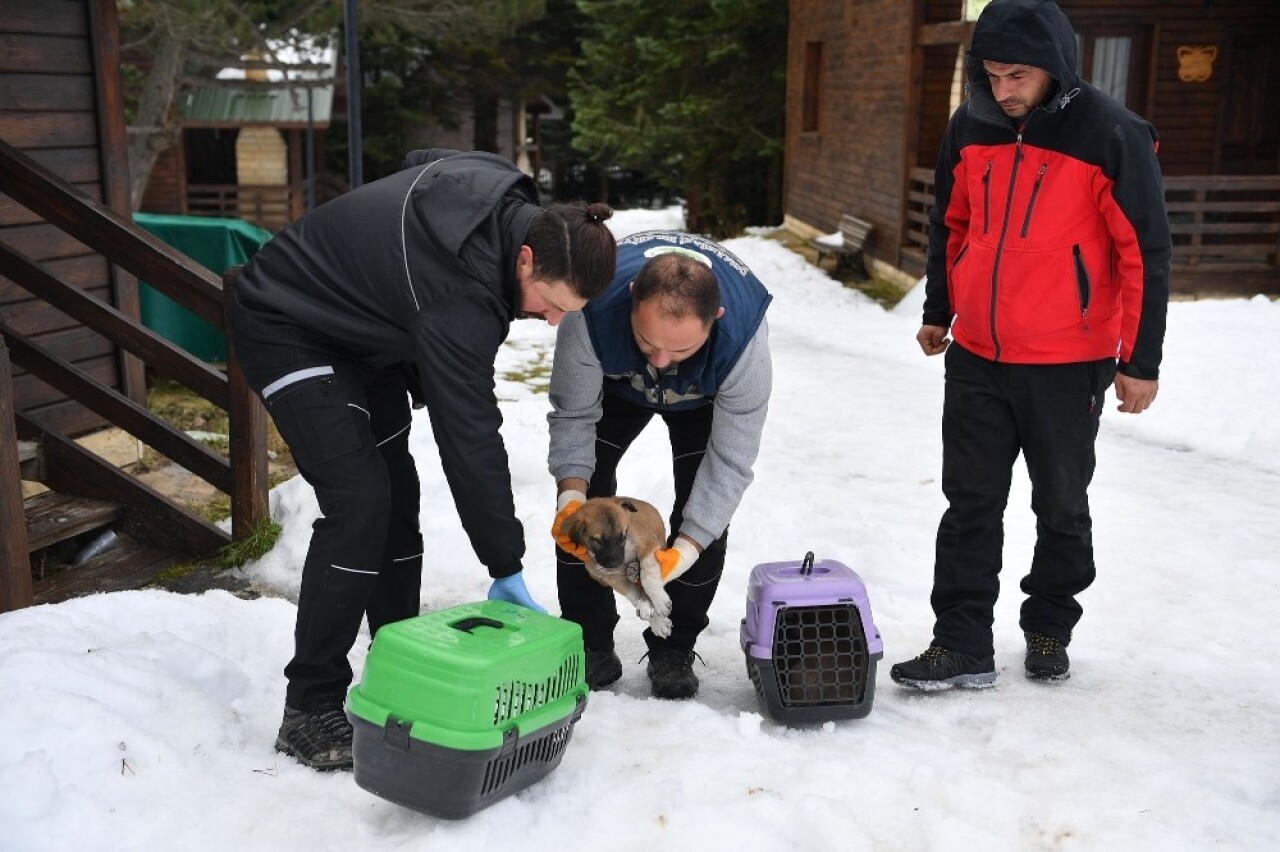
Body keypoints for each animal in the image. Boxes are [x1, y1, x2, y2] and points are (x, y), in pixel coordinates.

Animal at [563, 491, 675, 637]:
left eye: (622, 536)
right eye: (598, 541)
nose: (615, 563)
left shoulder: (648, 544)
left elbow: (648, 577)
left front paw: (660, 601)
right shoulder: (609, 575)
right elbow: (633, 593)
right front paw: (651, 613)